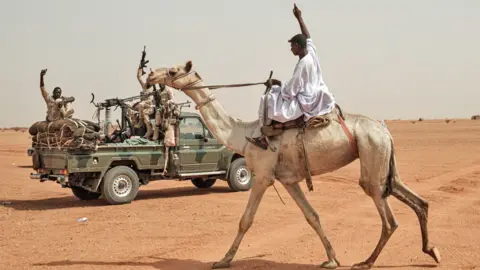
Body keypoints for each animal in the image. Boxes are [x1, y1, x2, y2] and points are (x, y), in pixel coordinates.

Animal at [144, 61, 440, 270]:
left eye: (172, 70)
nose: (150, 76)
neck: (243, 133)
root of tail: (385, 130)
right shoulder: (289, 180)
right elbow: (312, 216)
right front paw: (331, 259)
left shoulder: (263, 176)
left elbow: (245, 220)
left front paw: (223, 260)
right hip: (383, 160)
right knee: (416, 200)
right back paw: (432, 251)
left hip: (372, 153)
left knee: (388, 217)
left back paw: (367, 261)